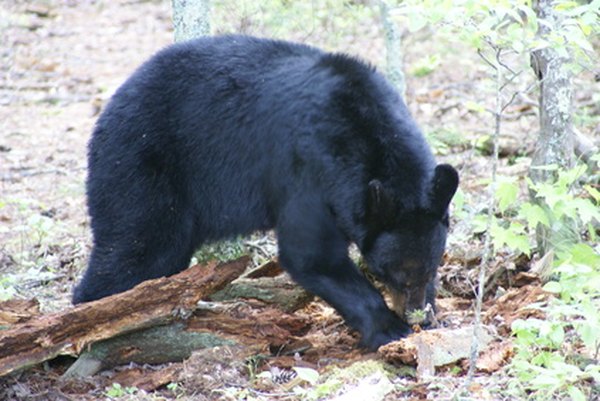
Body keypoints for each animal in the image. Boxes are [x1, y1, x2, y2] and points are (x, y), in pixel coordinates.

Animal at [75, 33, 460, 346]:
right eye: (392, 273)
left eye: (431, 268)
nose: (416, 313)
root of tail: (106, 112)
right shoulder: (309, 171)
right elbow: (311, 254)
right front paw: (389, 327)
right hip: (140, 166)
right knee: (137, 248)